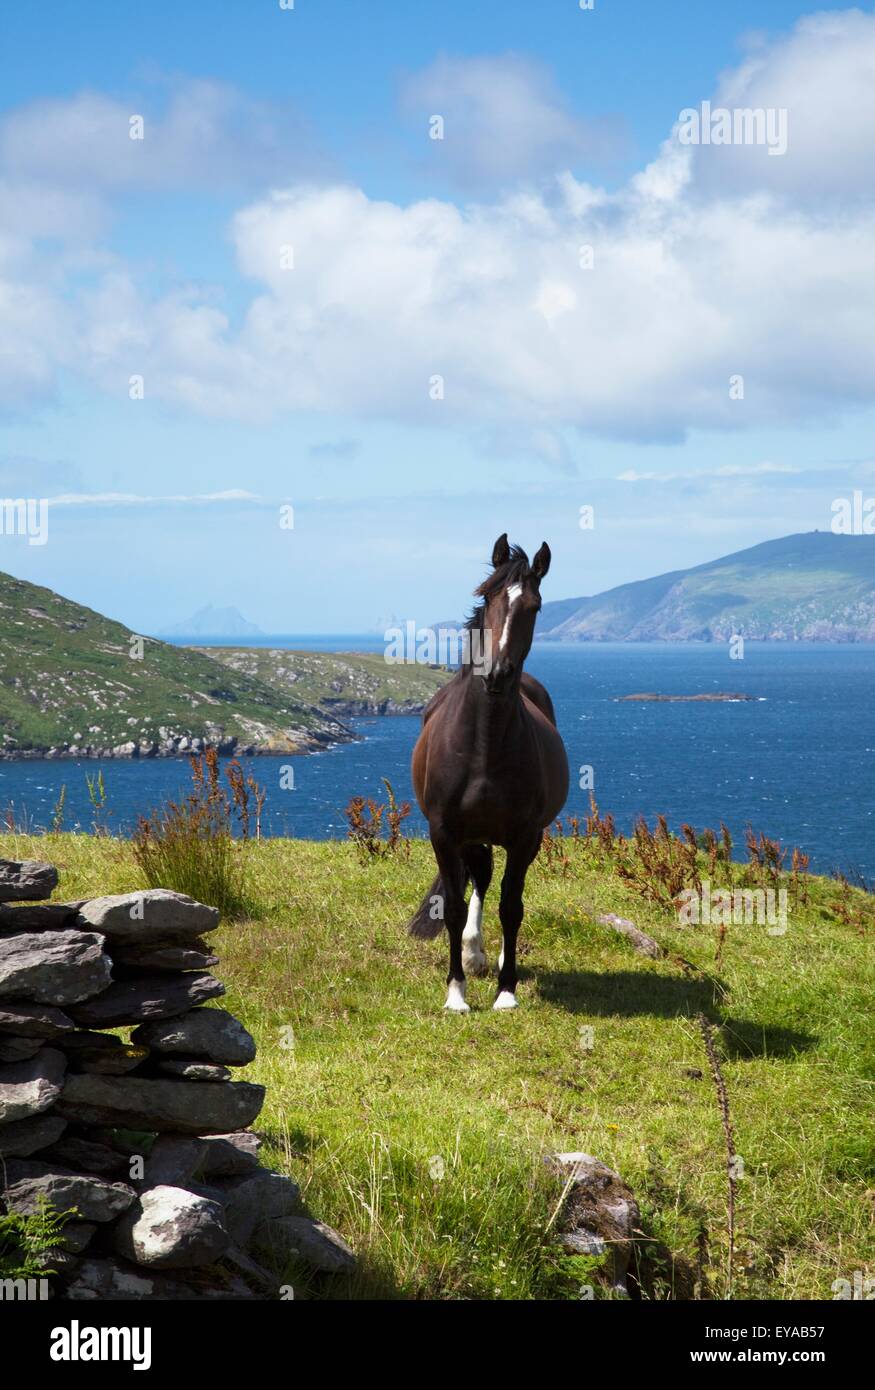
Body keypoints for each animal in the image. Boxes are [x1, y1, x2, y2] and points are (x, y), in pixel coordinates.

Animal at [407, 534, 569, 1012]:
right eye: (489, 597)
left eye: (534, 606)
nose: (497, 675)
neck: (483, 742)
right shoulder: (444, 831)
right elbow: (454, 907)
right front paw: (456, 994)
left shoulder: (525, 835)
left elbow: (511, 908)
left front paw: (506, 991)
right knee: (478, 877)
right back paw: (472, 953)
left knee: (494, 885)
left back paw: (490, 959)